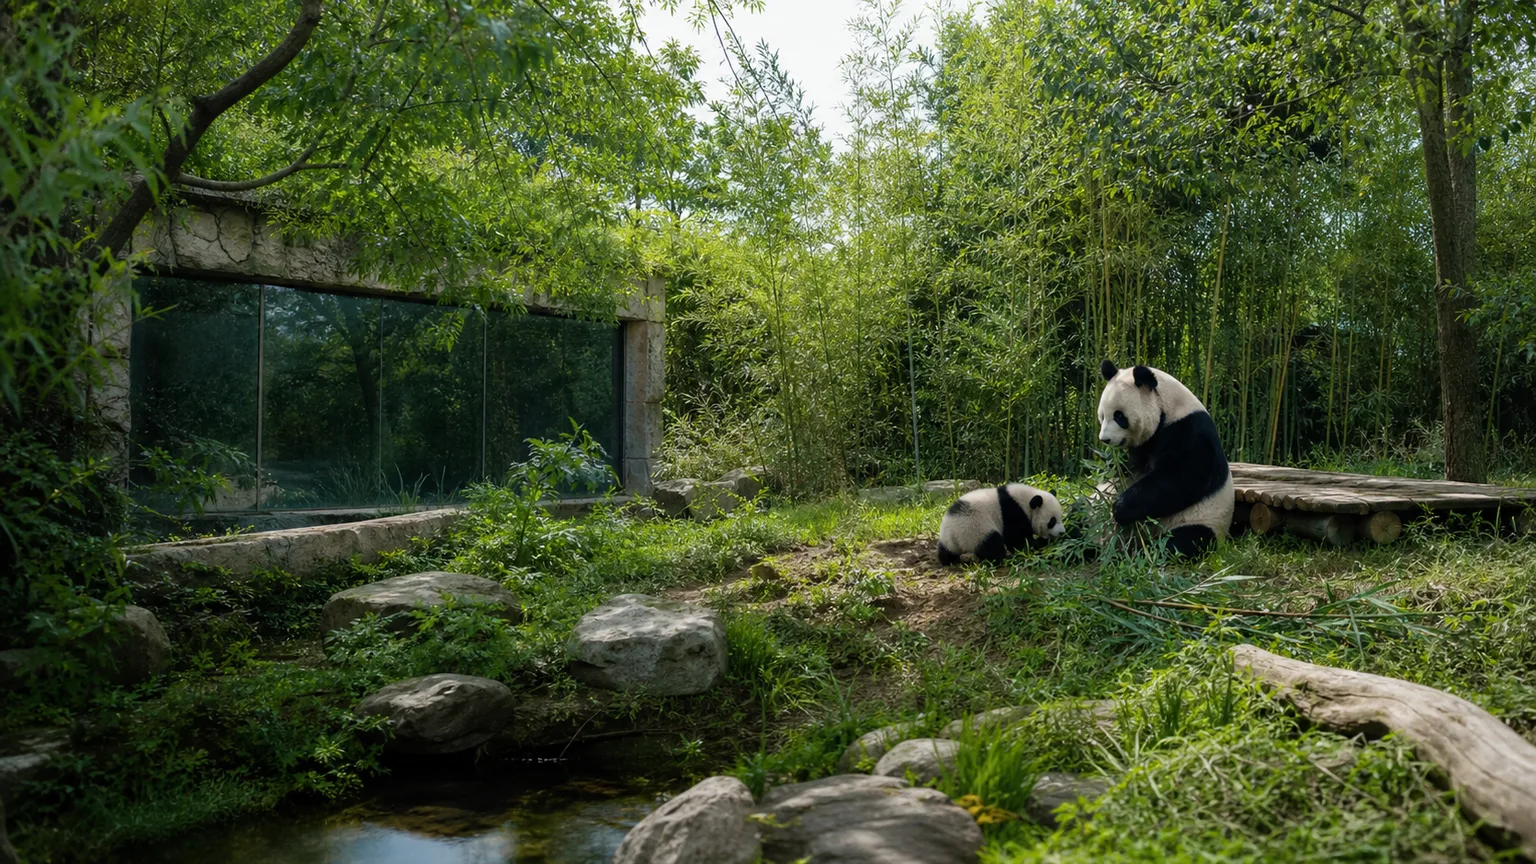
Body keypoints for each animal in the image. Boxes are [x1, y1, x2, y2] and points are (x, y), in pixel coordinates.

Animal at [937, 483, 1067, 565]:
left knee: (944, 551)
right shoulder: (1011, 512)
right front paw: (1041, 542)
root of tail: (953, 535)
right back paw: (999, 559)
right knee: (992, 544)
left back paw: (949, 559)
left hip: (947, 538)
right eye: (1052, 521)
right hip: (976, 529)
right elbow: (1018, 541)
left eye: (1061, 518)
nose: (1062, 532)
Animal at [1096, 360, 1233, 556]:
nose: (1105, 439)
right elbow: (1128, 468)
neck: (1168, 408)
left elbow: (1180, 478)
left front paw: (1119, 508)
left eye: (1119, 416)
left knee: (1183, 541)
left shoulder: (1189, 431)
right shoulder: (1143, 446)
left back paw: (1146, 550)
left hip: (1203, 520)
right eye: (1102, 416)